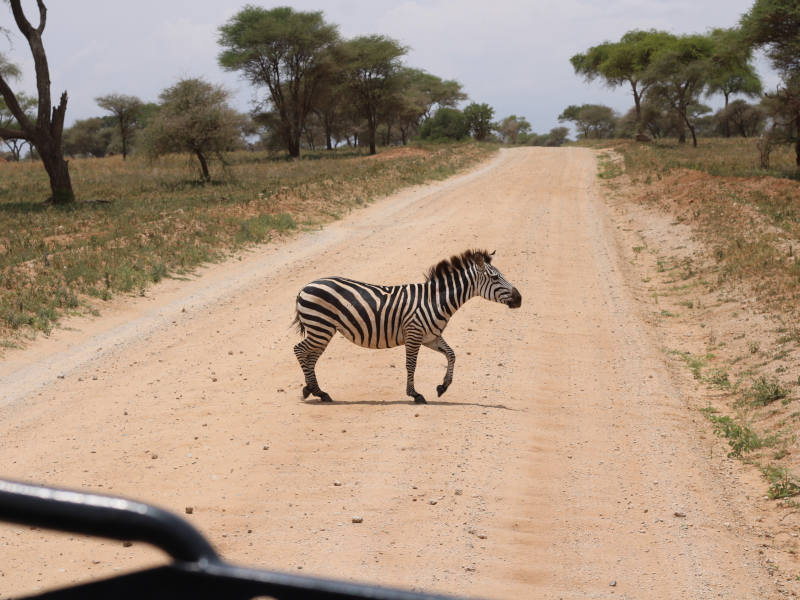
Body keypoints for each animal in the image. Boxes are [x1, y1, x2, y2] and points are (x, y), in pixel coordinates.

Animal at [290, 248, 520, 404]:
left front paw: (443, 386)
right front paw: (415, 394)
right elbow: (411, 364)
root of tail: (305, 286)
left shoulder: (431, 337)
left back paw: (315, 390)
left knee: (311, 356)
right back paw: (314, 390)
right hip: (321, 326)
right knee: (299, 350)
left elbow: (452, 355)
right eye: (495, 277)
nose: (520, 299)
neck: (435, 301)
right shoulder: (414, 333)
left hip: (322, 329)